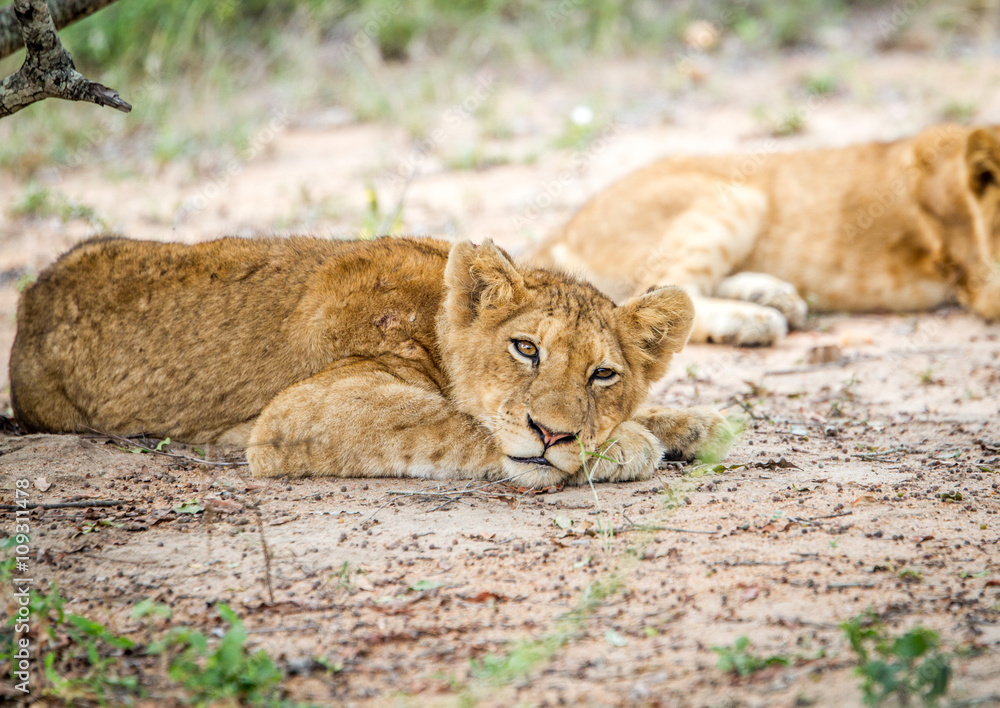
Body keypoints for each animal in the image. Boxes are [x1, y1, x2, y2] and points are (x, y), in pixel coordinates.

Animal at [9, 235, 730, 488]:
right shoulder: (302, 411)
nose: (552, 434)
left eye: (602, 374)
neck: (433, 316)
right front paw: (629, 444)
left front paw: (692, 424)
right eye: (526, 348)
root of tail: (31, 295)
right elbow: (457, 424)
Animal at [532, 123, 1000, 346]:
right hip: (738, 195)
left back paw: (773, 295)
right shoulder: (980, 283)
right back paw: (755, 320)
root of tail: (563, 228)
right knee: (661, 295)